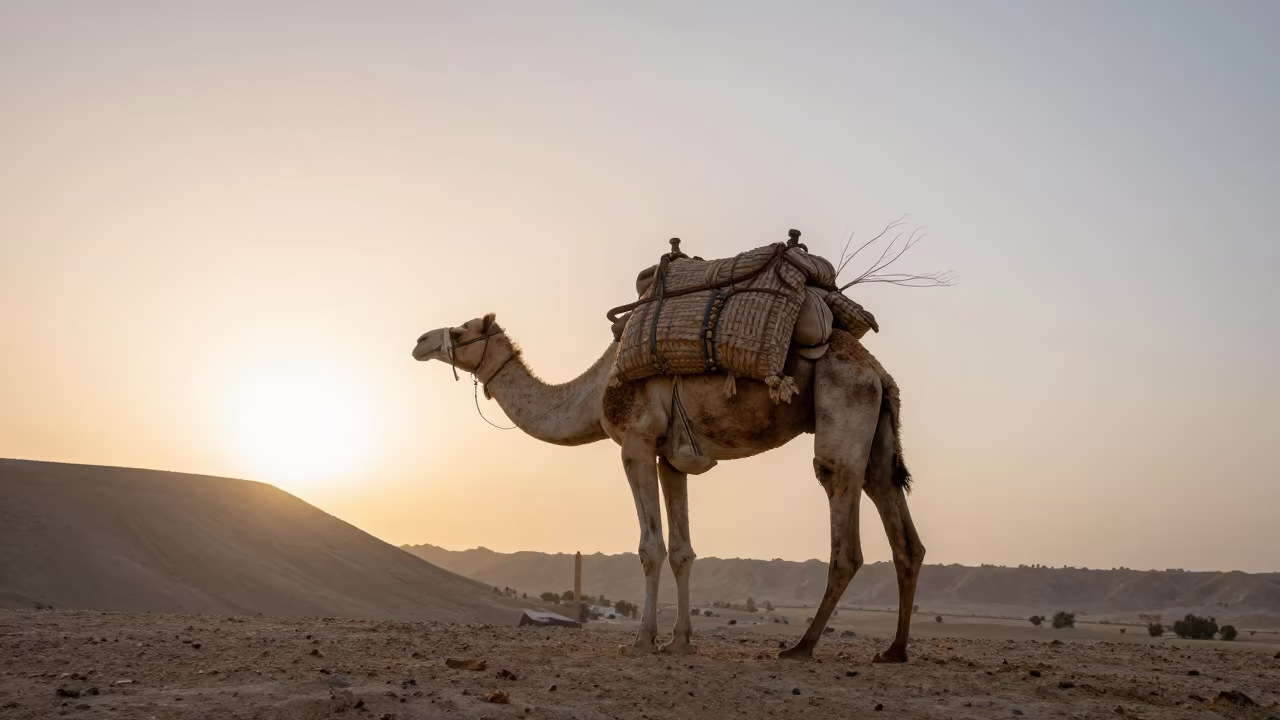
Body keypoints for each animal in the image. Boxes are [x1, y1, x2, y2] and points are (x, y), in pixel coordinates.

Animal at [412, 313, 925, 662]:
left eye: (461, 332)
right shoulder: (669, 458)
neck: (593, 393)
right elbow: (682, 550)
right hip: (877, 429)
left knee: (843, 524)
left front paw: (642, 640)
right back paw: (893, 651)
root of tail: (879, 373)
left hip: (843, 403)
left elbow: (650, 547)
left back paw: (801, 646)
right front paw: (680, 641)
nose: (419, 341)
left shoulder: (635, 444)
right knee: (901, 529)